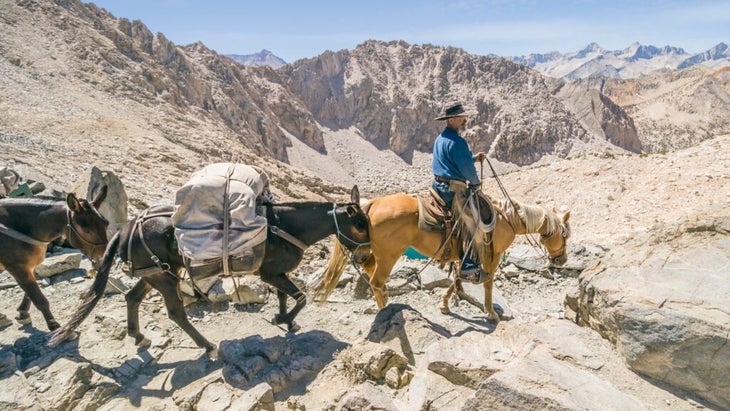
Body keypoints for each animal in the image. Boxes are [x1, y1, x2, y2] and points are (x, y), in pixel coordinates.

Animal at [0, 188, 108, 334]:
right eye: (86, 230)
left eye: (106, 223)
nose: (107, 256)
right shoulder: (18, 268)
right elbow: (39, 299)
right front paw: (54, 326)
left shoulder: (30, 267)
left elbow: (29, 293)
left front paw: (23, 313)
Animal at [49, 186, 370, 358]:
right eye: (359, 226)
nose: (367, 256)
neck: (285, 225)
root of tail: (126, 228)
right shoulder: (271, 274)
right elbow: (300, 298)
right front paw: (286, 319)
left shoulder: (275, 274)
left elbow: (283, 297)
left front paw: (284, 320)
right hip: (165, 279)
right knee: (175, 313)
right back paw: (207, 346)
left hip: (155, 274)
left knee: (132, 297)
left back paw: (139, 337)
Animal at [312, 193, 568, 322]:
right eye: (565, 234)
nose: (561, 260)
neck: (508, 219)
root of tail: (373, 202)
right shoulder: (492, 256)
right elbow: (487, 283)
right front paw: (491, 313)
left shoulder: (463, 255)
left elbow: (456, 280)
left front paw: (444, 304)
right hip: (389, 255)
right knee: (376, 282)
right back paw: (388, 310)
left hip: (370, 253)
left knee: (370, 274)